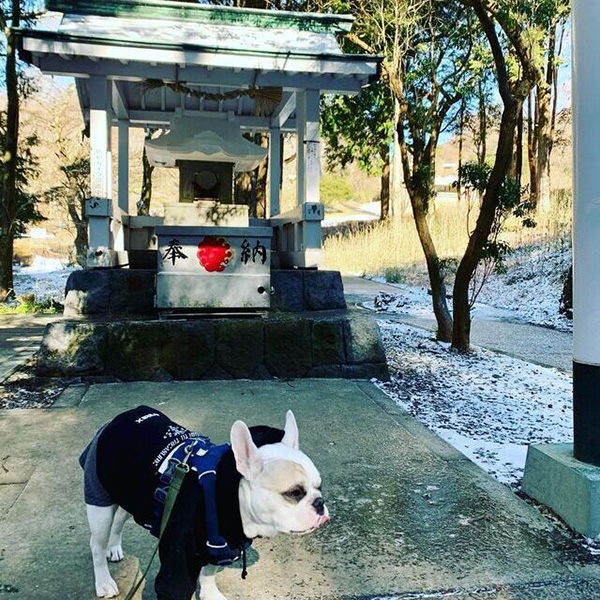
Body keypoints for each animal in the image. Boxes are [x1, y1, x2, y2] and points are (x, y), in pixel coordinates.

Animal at [79, 406, 328, 596]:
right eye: (294, 493)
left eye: (319, 486)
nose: (320, 502)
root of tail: (118, 418)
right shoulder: (177, 563)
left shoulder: (220, 549)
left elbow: (208, 574)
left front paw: (210, 594)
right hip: (99, 503)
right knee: (96, 544)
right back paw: (104, 581)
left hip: (126, 493)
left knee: (120, 517)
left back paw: (114, 547)